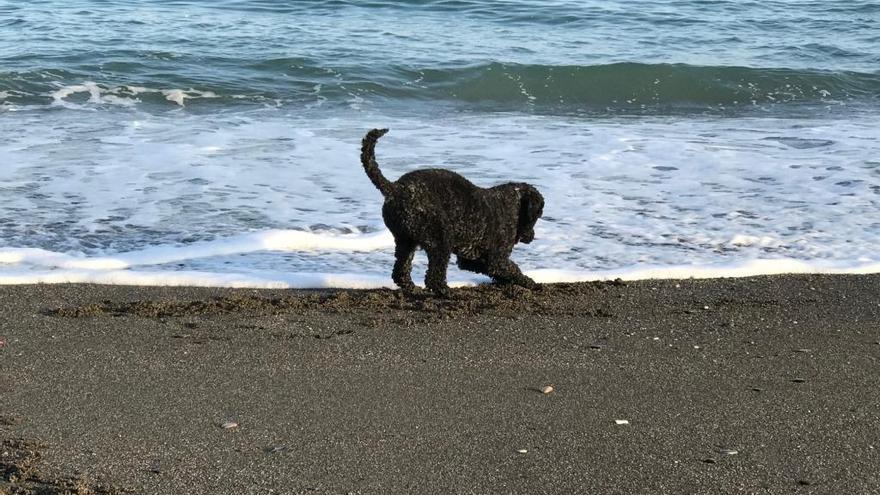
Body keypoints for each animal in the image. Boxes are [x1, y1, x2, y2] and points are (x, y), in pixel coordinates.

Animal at [360, 129, 544, 298]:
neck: (513, 203)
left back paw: (413, 288)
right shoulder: (497, 259)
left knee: (401, 272)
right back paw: (448, 292)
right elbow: (513, 269)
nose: (532, 236)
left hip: (406, 242)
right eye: (539, 214)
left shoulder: (470, 259)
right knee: (433, 278)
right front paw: (530, 283)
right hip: (440, 240)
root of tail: (396, 189)